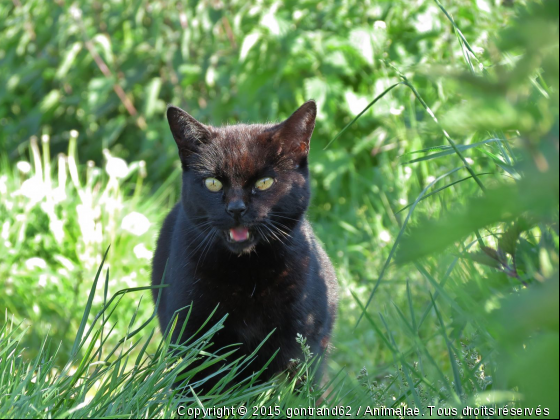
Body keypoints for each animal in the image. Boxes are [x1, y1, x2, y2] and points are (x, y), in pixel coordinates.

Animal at [151, 101, 340, 390]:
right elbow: (196, 387)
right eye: (213, 183)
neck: (247, 275)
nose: (236, 208)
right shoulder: (191, 335)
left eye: (264, 183)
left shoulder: (301, 340)